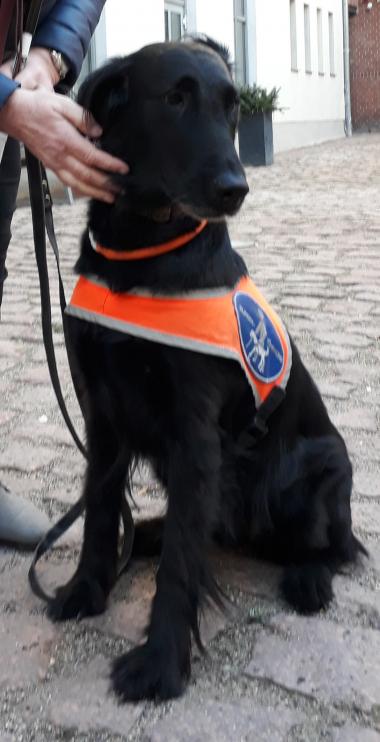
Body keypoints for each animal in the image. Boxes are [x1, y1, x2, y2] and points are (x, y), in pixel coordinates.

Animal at [46, 39, 366, 704]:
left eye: (232, 105)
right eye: (174, 98)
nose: (234, 188)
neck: (140, 255)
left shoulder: (195, 436)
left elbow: (180, 566)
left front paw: (160, 664)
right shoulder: (102, 417)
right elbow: (97, 515)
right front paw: (86, 590)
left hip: (322, 469)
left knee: (340, 548)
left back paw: (309, 579)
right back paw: (141, 534)